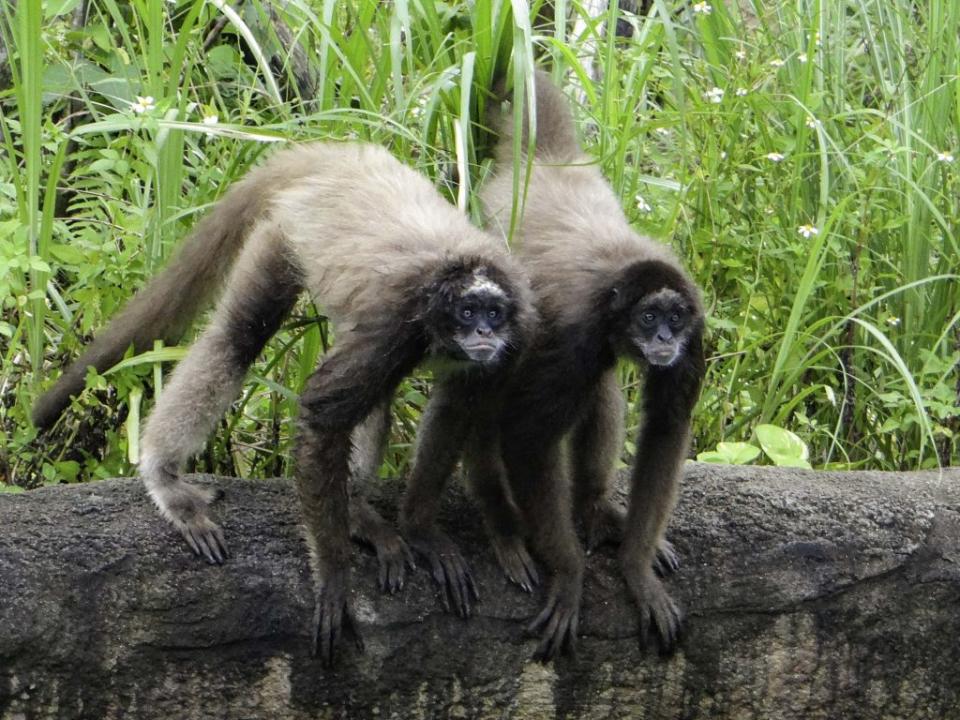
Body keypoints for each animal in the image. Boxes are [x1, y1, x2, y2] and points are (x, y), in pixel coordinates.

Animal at [31, 143, 532, 668]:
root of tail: (341, 157)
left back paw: (354, 508)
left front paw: (421, 533)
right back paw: (165, 479)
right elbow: (320, 413)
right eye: (468, 312)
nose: (484, 331)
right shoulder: (396, 321)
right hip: (285, 232)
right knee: (240, 337)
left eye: (493, 313)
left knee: (373, 393)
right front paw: (333, 577)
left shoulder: (516, 331)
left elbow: (454, 411)